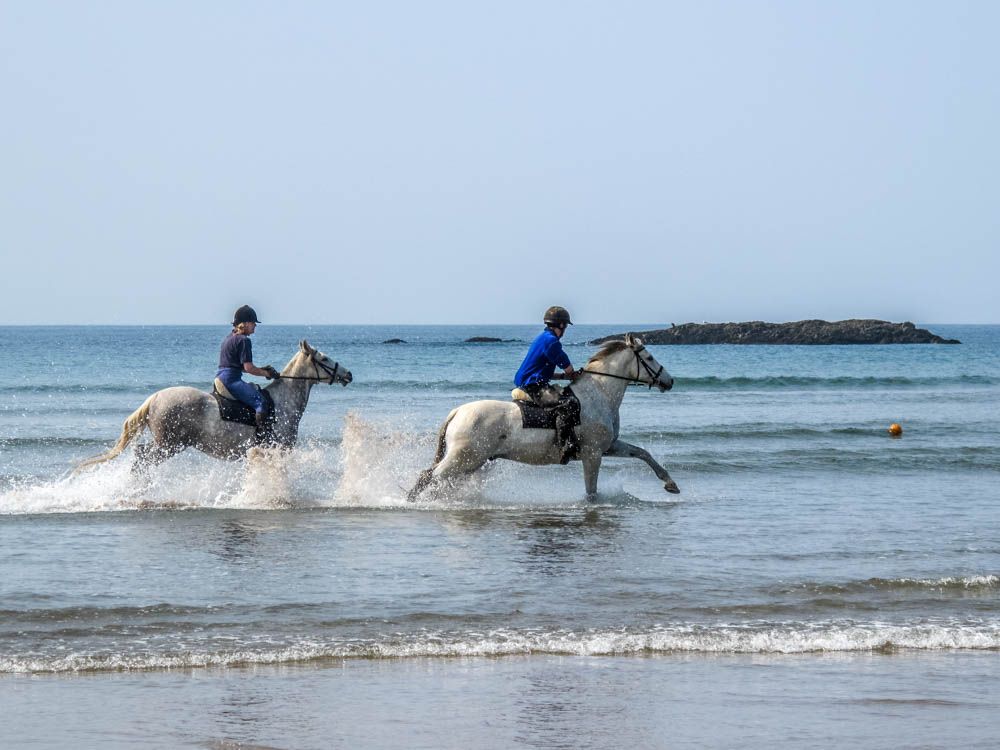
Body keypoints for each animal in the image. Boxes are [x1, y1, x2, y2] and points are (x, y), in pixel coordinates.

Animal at [73, 342, 352, 476]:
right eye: (324, 358)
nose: (348, 374)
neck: (281, 403)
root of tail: (154, 399)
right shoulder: (278, 451)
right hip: (169, 445)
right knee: (142, 460)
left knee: (140, 457)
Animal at [408, 336, 680, 502]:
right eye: (650, 357)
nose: (670, 381)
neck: (599, 393)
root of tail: (457, 412)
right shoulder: (592, 454)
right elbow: (591, 491)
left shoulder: (608, 446)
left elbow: (642, 453)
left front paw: (670, 484)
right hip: (462, 458)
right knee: (428, 476)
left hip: (472, 461)